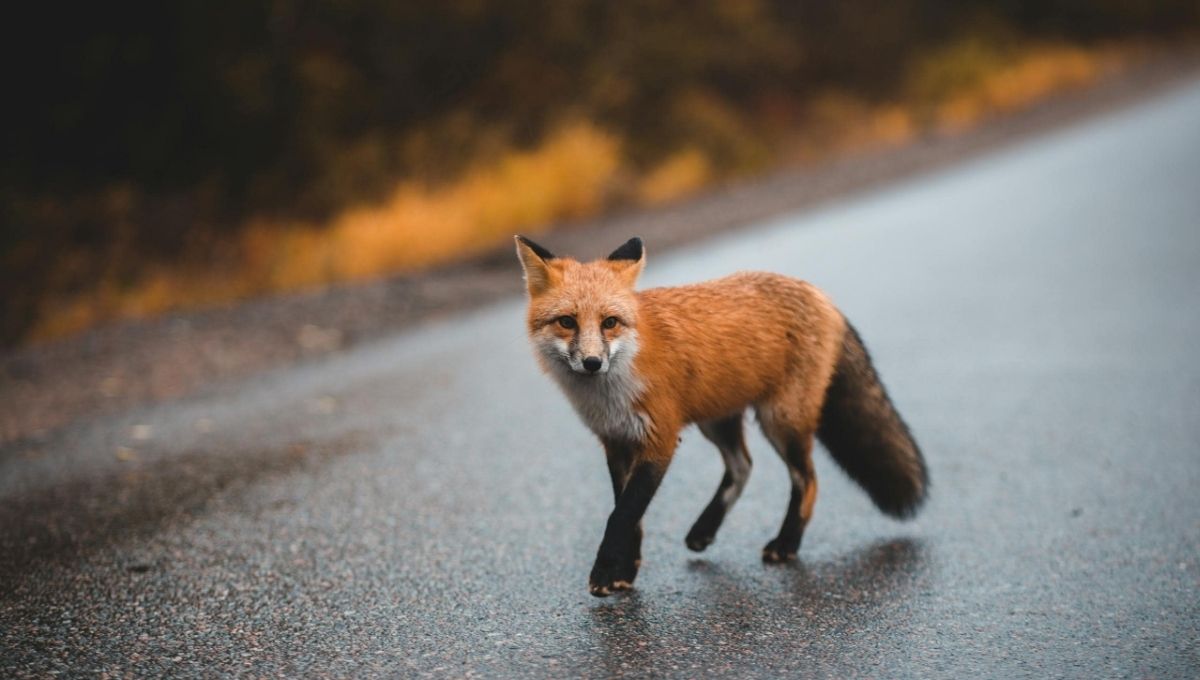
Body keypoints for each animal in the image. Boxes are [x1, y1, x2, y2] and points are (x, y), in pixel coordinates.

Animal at [515, 235, 927, 597]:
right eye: (567, 322)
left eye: (609, 322)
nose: (592, 362)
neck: (613, 388)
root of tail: (819, 294)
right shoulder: (617, 442)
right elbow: (630, 515)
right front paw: (625, 571)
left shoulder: (660, 439)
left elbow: (622, 515)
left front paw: (604, 573)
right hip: (717, 421)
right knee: (743, 466)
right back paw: (705, 529)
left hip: (780, 421)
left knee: (807, 480)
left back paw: (786, 543)